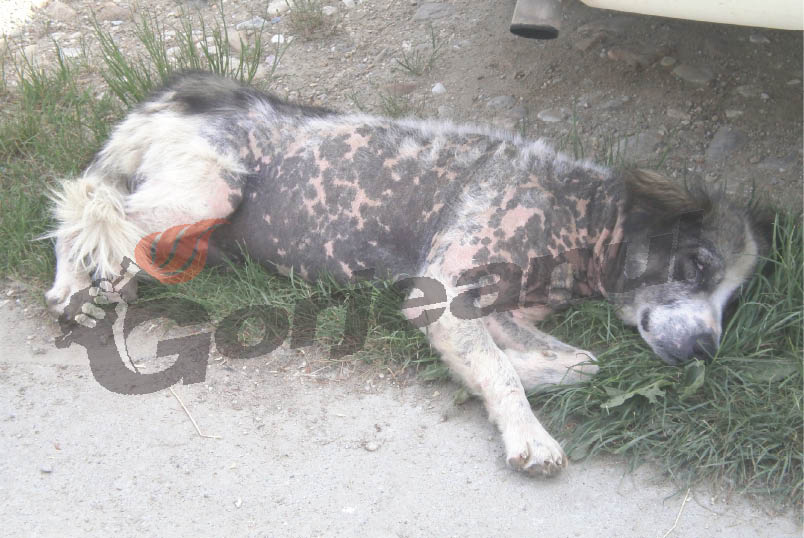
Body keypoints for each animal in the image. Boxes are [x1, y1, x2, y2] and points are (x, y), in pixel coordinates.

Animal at [45, 73, 766, 476]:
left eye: (731, 301)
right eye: (697, 265)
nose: (707, 350)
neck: (576, 220)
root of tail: (190, 90)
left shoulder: (497, 310)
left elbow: (571, 363)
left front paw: (513, 378)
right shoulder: (446, 290)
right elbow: (505, 370)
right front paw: (529, 432)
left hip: (191, 228)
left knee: (115, 229)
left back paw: (109, 286)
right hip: (203, 193)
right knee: (86, 203)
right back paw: (72, 290)